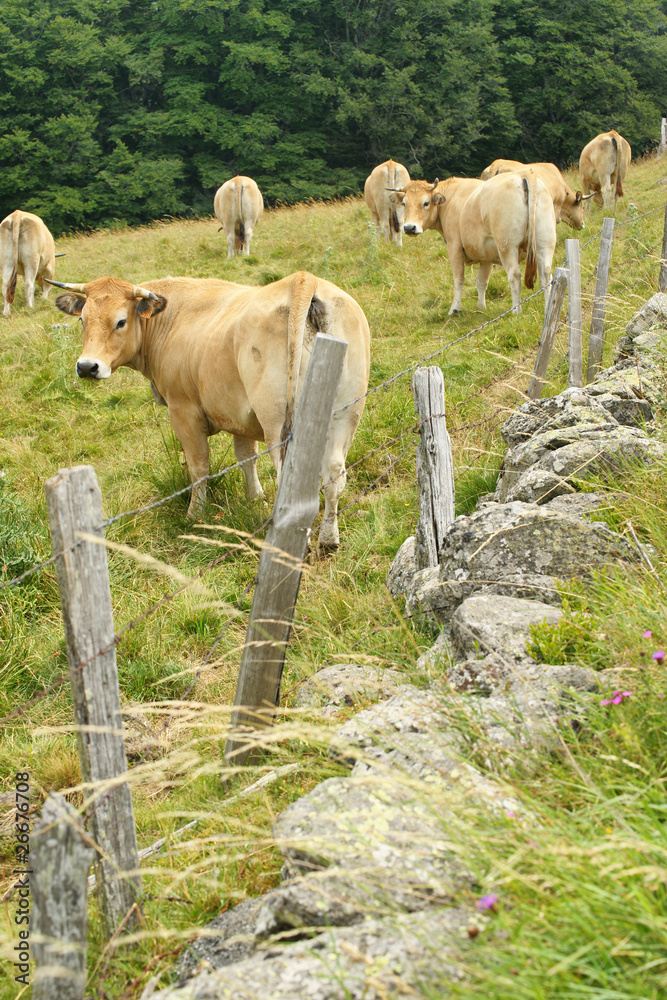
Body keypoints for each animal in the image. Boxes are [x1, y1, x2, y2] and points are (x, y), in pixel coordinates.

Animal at [47, 270, 370, 548]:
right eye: (82, 320)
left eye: (121, 321)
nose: (87, 366)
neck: (172, 317)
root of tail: (303, 279)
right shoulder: (240, 415)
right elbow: (246, 458)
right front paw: (255, 498)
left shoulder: (183, 412)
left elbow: (199, 465)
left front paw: (195, 513)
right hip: (345, 415)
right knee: (334, 475)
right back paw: (329, 538)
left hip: (278, 423)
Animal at [392, 170, 560, 314]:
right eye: (405, 203)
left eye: (426, 203)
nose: (409, 227)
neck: (451, 198)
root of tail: (522, 174)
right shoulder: (486, 254)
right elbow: (482, 281)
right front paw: (481, 307)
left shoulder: (454, 246)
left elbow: (459, 279)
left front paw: (455, 309)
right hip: (545, 242)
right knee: (546, 274)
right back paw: (548, 308)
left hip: (507, 246)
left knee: (515, 275)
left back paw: (516, 310)